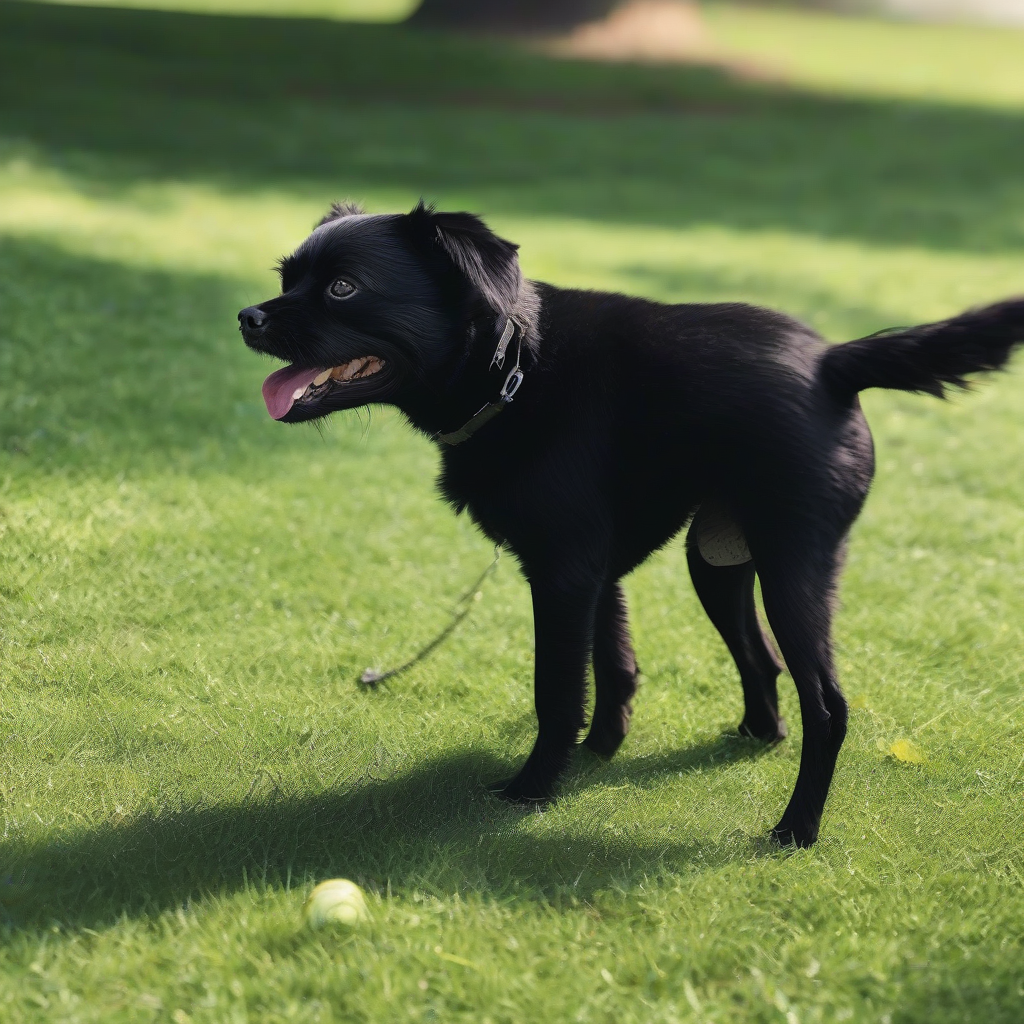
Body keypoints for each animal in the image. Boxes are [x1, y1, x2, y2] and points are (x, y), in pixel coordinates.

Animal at [241, 201, 1024, 847]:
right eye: (287, 277)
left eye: (344, 288)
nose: (248, 317)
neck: (516, 367)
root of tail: (834, 361)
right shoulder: (594, 572)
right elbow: (614, 666)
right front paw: (599, 754)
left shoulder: (562, 576)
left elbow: (558, 691)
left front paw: (533, 789)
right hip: (716, 560)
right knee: (761, 659)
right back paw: (754, 735)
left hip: (793, 566)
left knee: (827, 706)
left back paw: (796, 828)